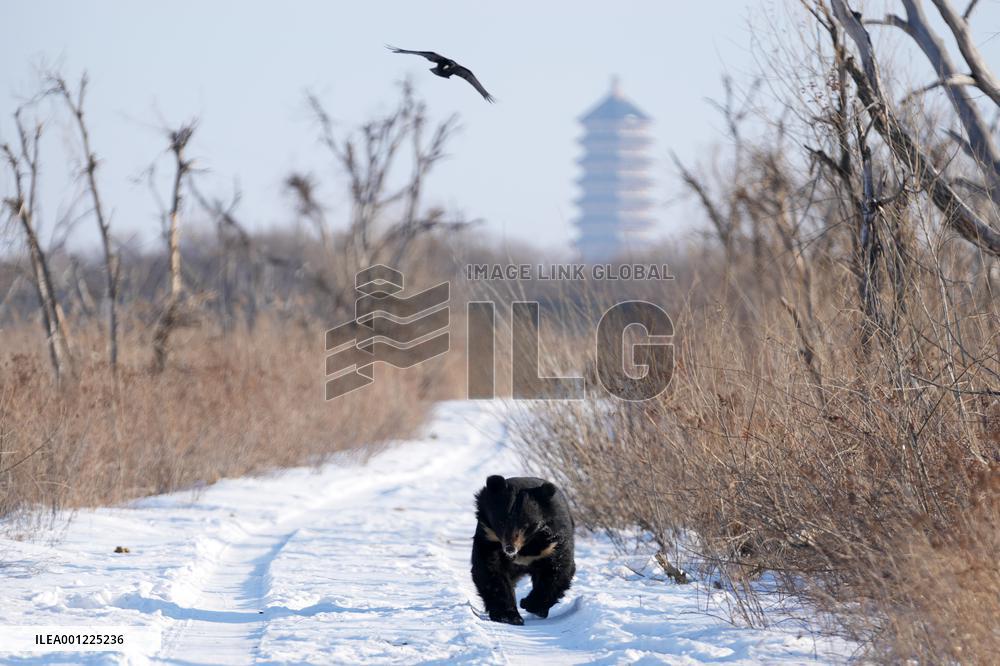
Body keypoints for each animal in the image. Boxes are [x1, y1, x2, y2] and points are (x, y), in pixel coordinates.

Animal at [471, 475, 576, 625]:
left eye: (526, 525)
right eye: (501, 522)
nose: (510, 549)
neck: (526, 546)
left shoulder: (552, 543)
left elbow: (558, 569)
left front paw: (529, 604)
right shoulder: (488, 535)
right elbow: (490, 570)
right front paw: (509, 616)